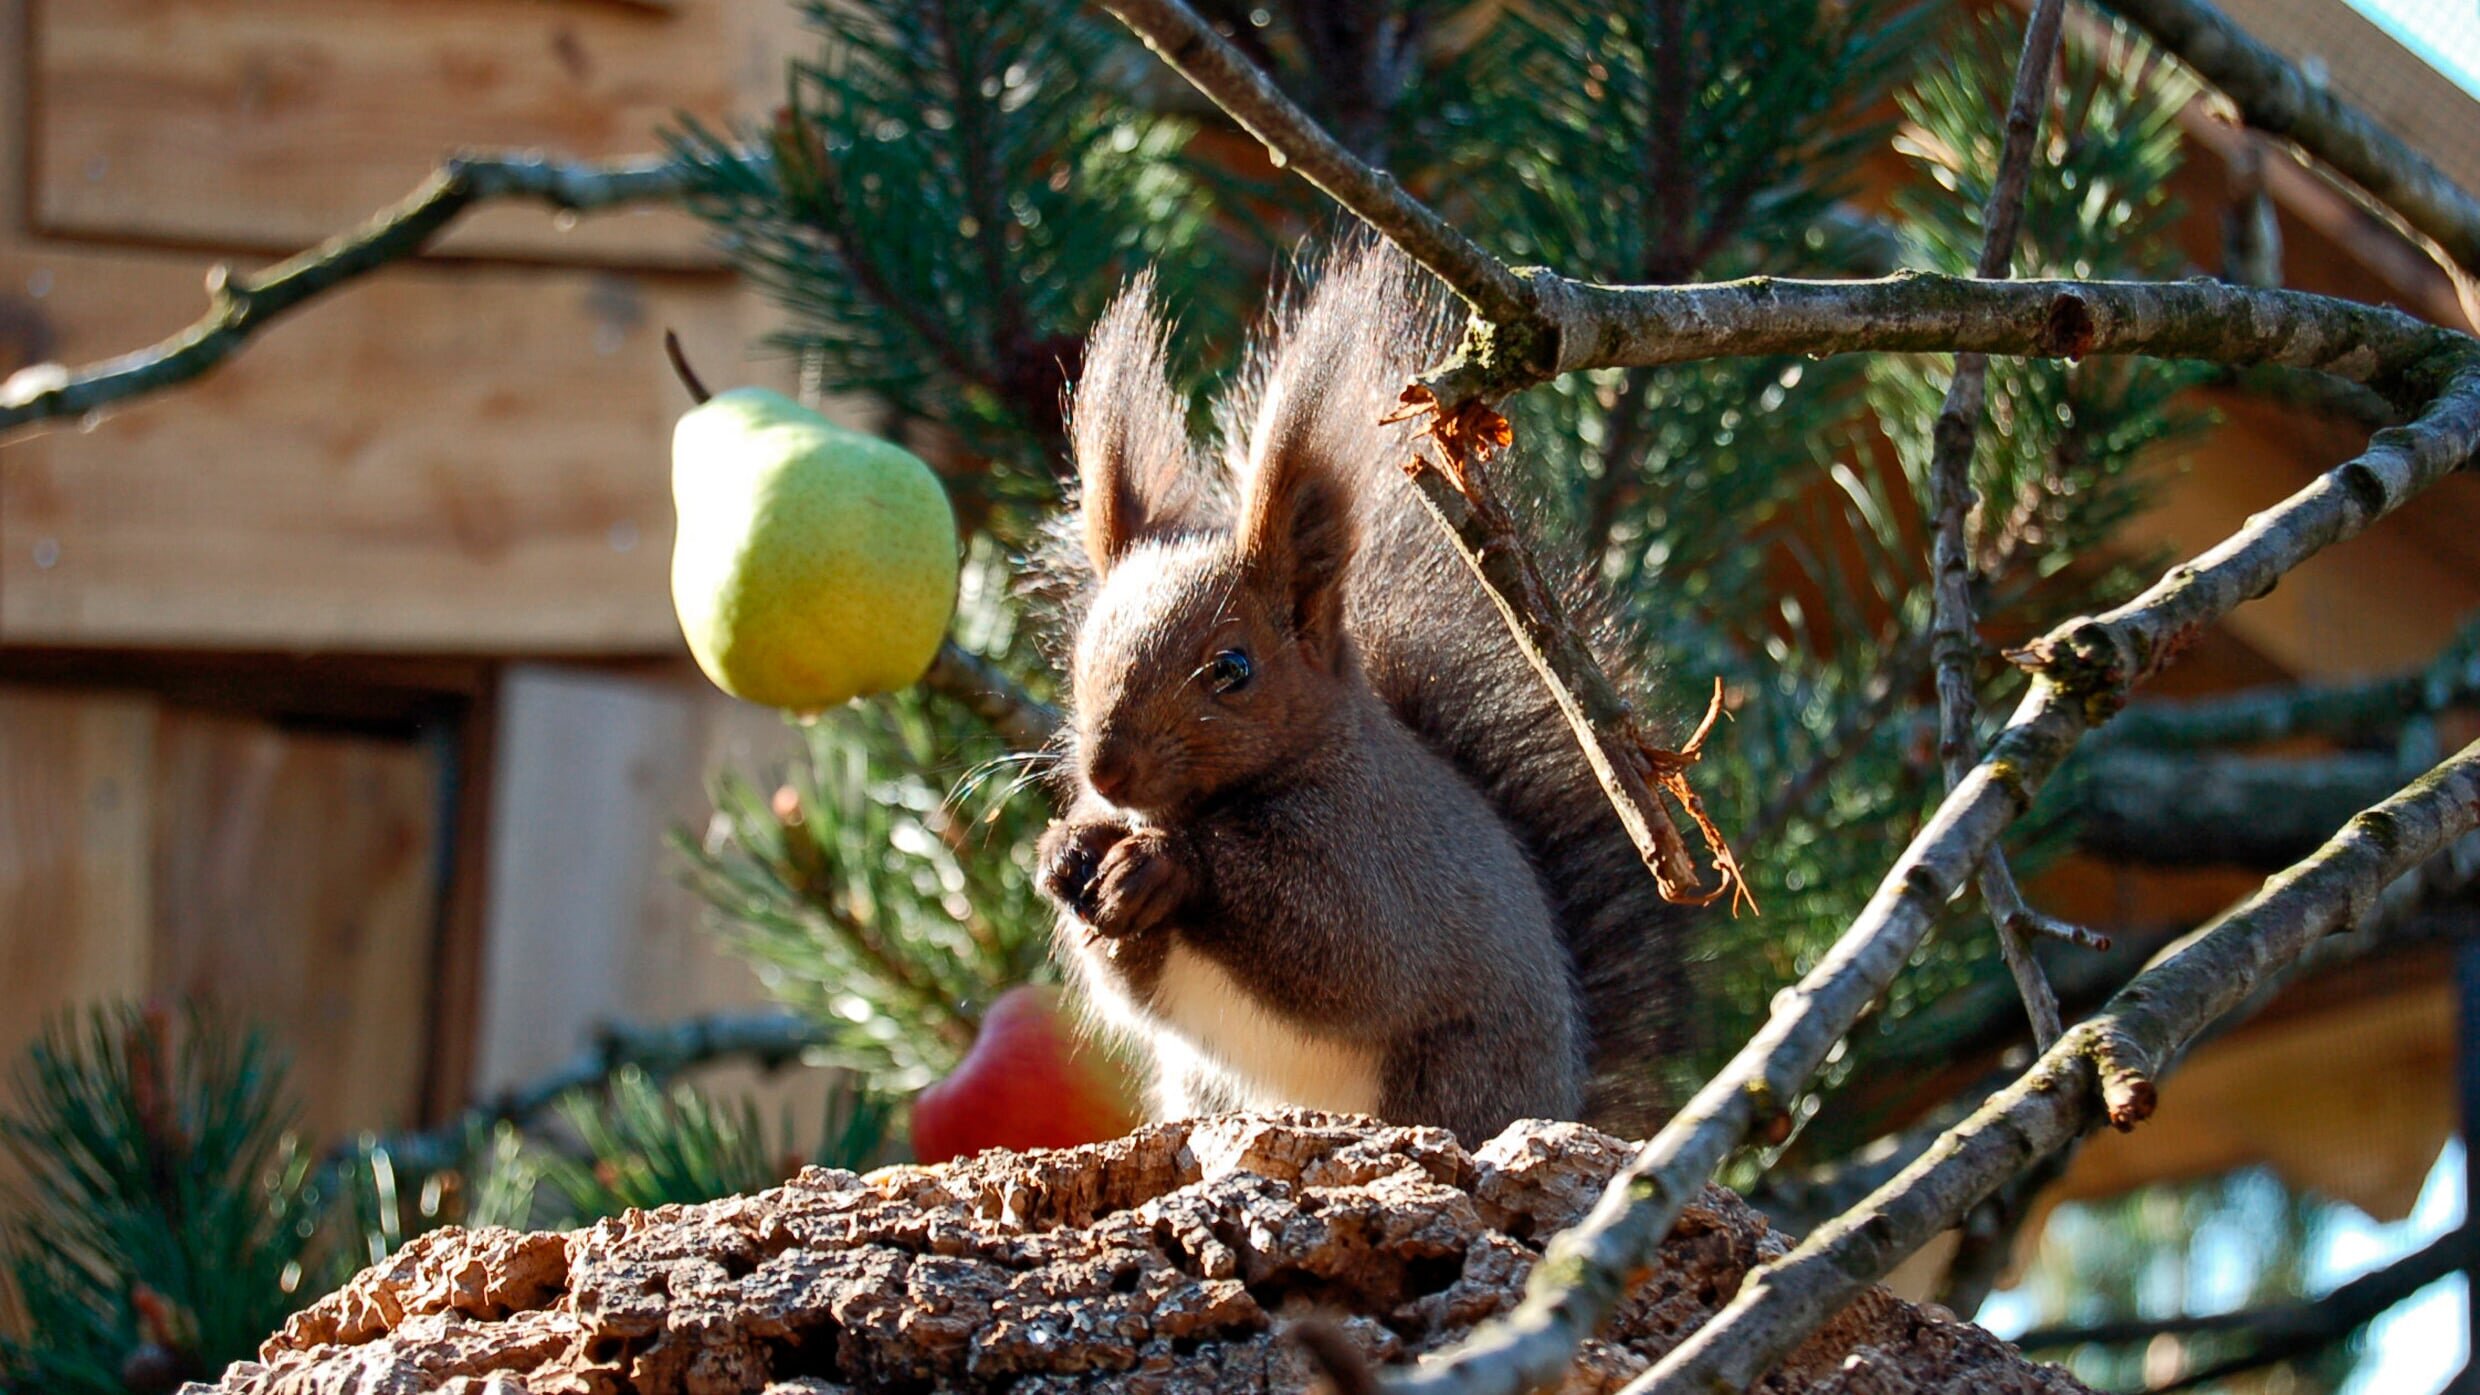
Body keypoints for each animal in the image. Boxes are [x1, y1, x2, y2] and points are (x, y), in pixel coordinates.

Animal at [1026, 244, 1686, 1141]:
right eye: (1082, 652)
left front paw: (1161, 863)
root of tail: (1561, 1093)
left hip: (1453, 1078)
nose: (1106, 772)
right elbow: (1133, 979)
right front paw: (1067, 850)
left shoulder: (1379, 867)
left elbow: (1336, 944)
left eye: (1233, 669)